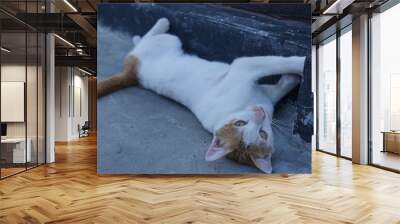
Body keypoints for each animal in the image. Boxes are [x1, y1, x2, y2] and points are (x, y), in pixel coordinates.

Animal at [98, 18, 304, 174]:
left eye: (262, 134)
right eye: (240, 124)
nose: (260, 113)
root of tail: (132, 75)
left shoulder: (266, 95)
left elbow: (280, 86)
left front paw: (292, 78)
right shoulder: (244, 67)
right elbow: (275, 62)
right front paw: (302, 64)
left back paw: (136, 37)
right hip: (169, 41)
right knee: (152, 37)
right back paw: (160, 24)